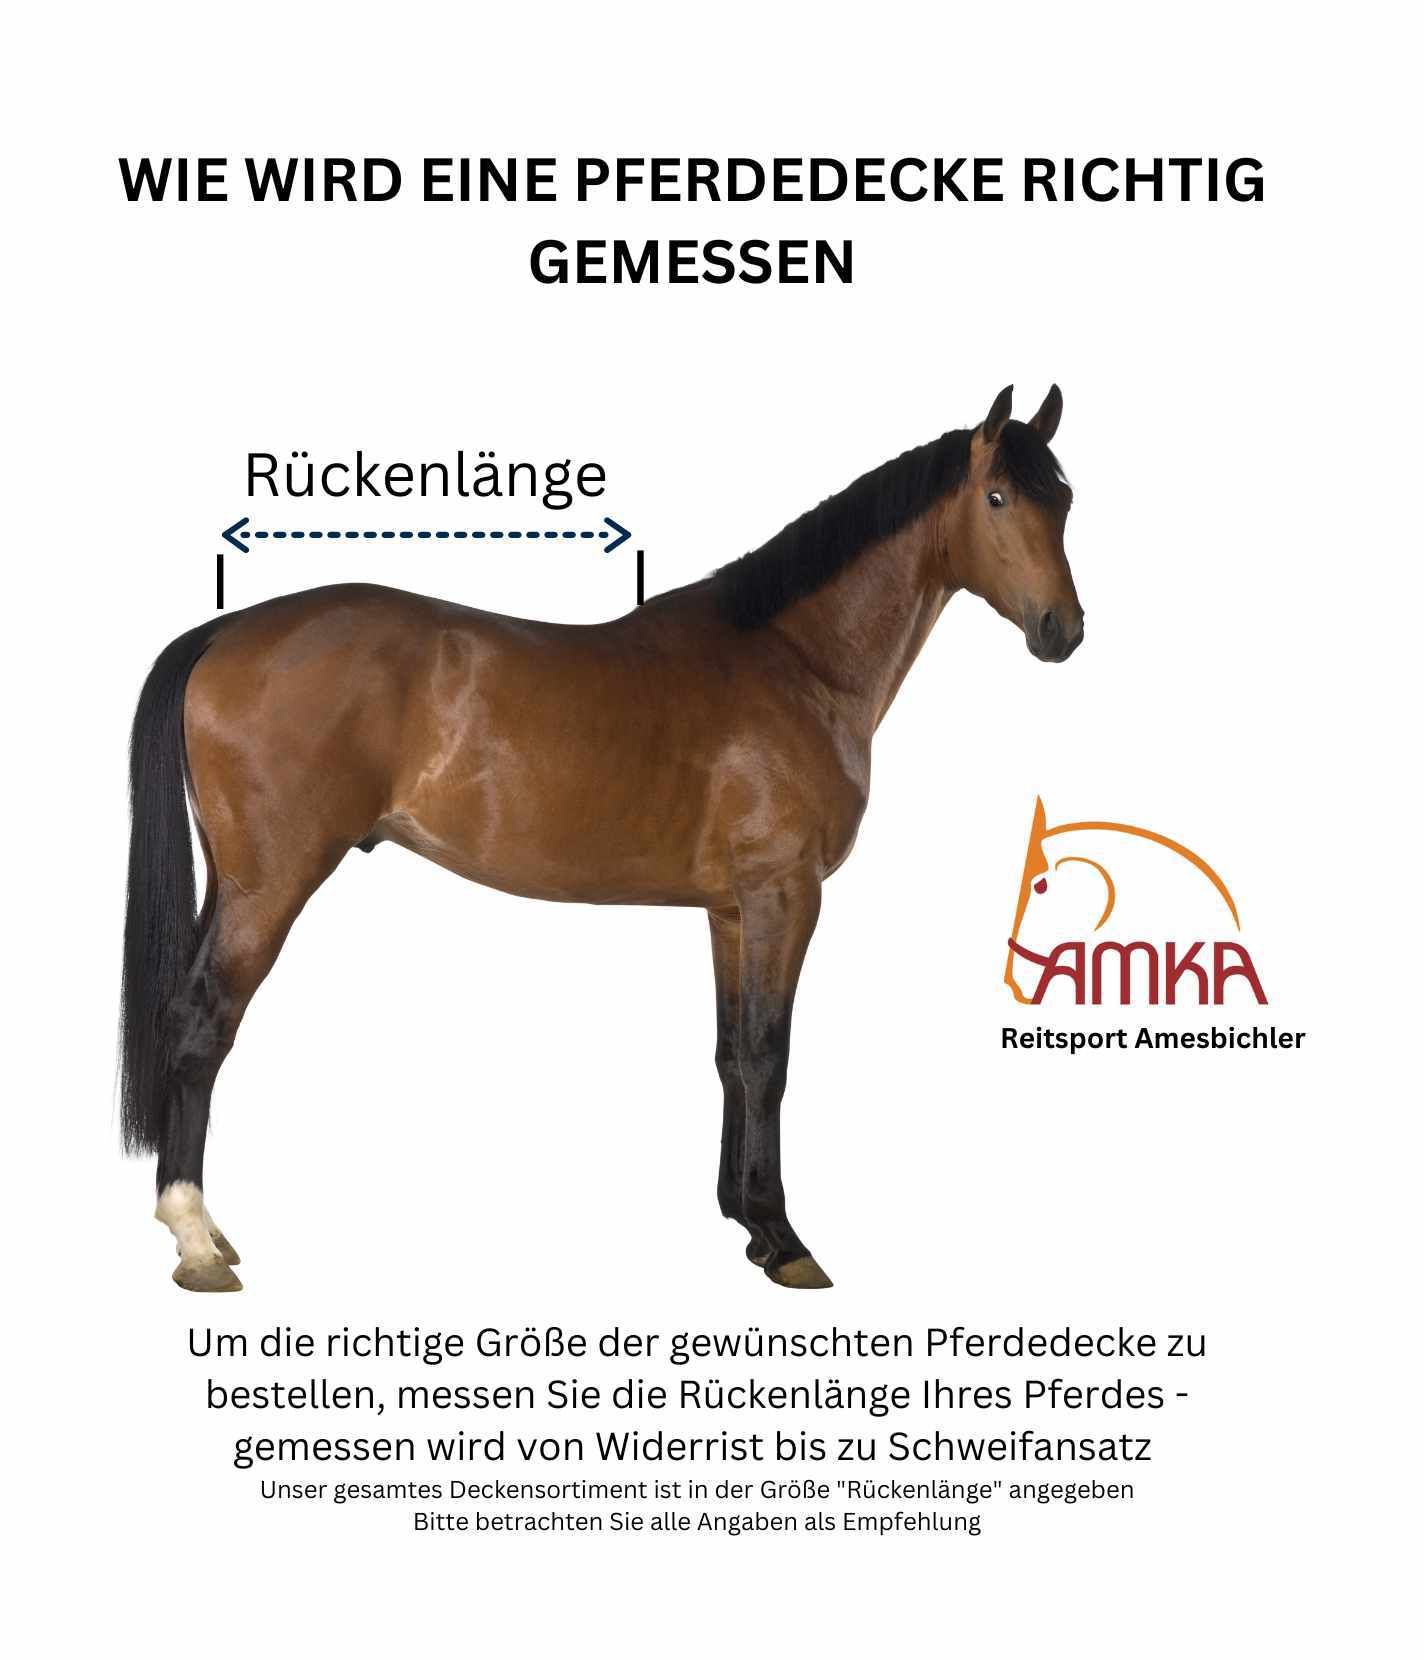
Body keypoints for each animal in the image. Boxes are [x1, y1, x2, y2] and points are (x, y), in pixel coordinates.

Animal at [121, 384, 1084, 1292]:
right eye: (998, 497)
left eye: (1065, 497)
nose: (1062, 631)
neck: (795, 662)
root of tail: (225, 631)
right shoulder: (786, 895)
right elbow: (769, 1056)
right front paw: (784, 1241)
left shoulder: (731, 910)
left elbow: (731, 1055)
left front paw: (744, 1222)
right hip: (270, 885)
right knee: (204, 1022)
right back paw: (197, 1241)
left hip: (232, 882)